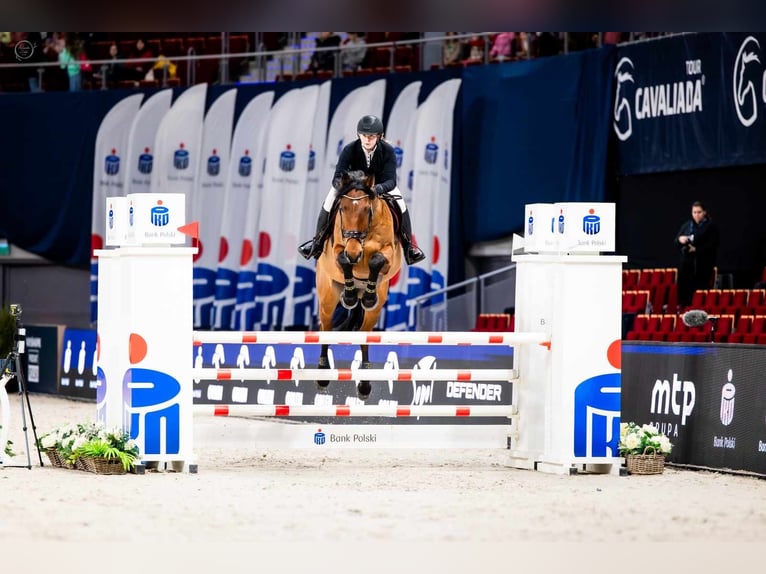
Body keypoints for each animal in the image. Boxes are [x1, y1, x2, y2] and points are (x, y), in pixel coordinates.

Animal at [316, 171, 404, 400]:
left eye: (367, 209)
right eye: (342, 209)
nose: (354, 252)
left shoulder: (389, 253)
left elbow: (376, 260)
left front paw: (368, 296)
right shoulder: (339, 249)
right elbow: (343, 260)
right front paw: (348, 297)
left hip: (375, 310)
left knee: (365, 334)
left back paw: (364, 383)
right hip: (327, 297)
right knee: (326, 328)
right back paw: (322, 374)